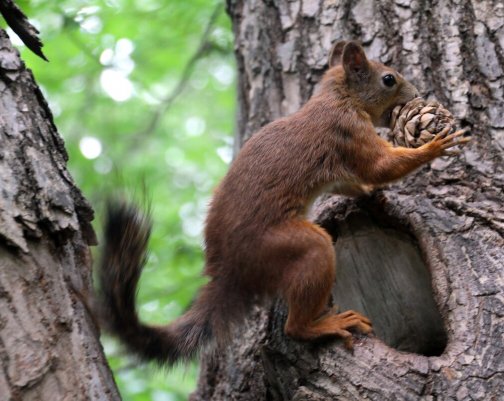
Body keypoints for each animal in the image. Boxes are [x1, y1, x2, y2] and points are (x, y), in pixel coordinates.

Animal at [97, 40, 468, 362]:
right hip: (290, 246)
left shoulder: (339, 168)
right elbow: (381, 167)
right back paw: (324, 324)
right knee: (295, 322)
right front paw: (434, 146)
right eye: (389, 79)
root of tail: (229, 270)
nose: (417, 96)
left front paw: (368, 191)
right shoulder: (347, 132)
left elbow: (351, 183)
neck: (339, 97)